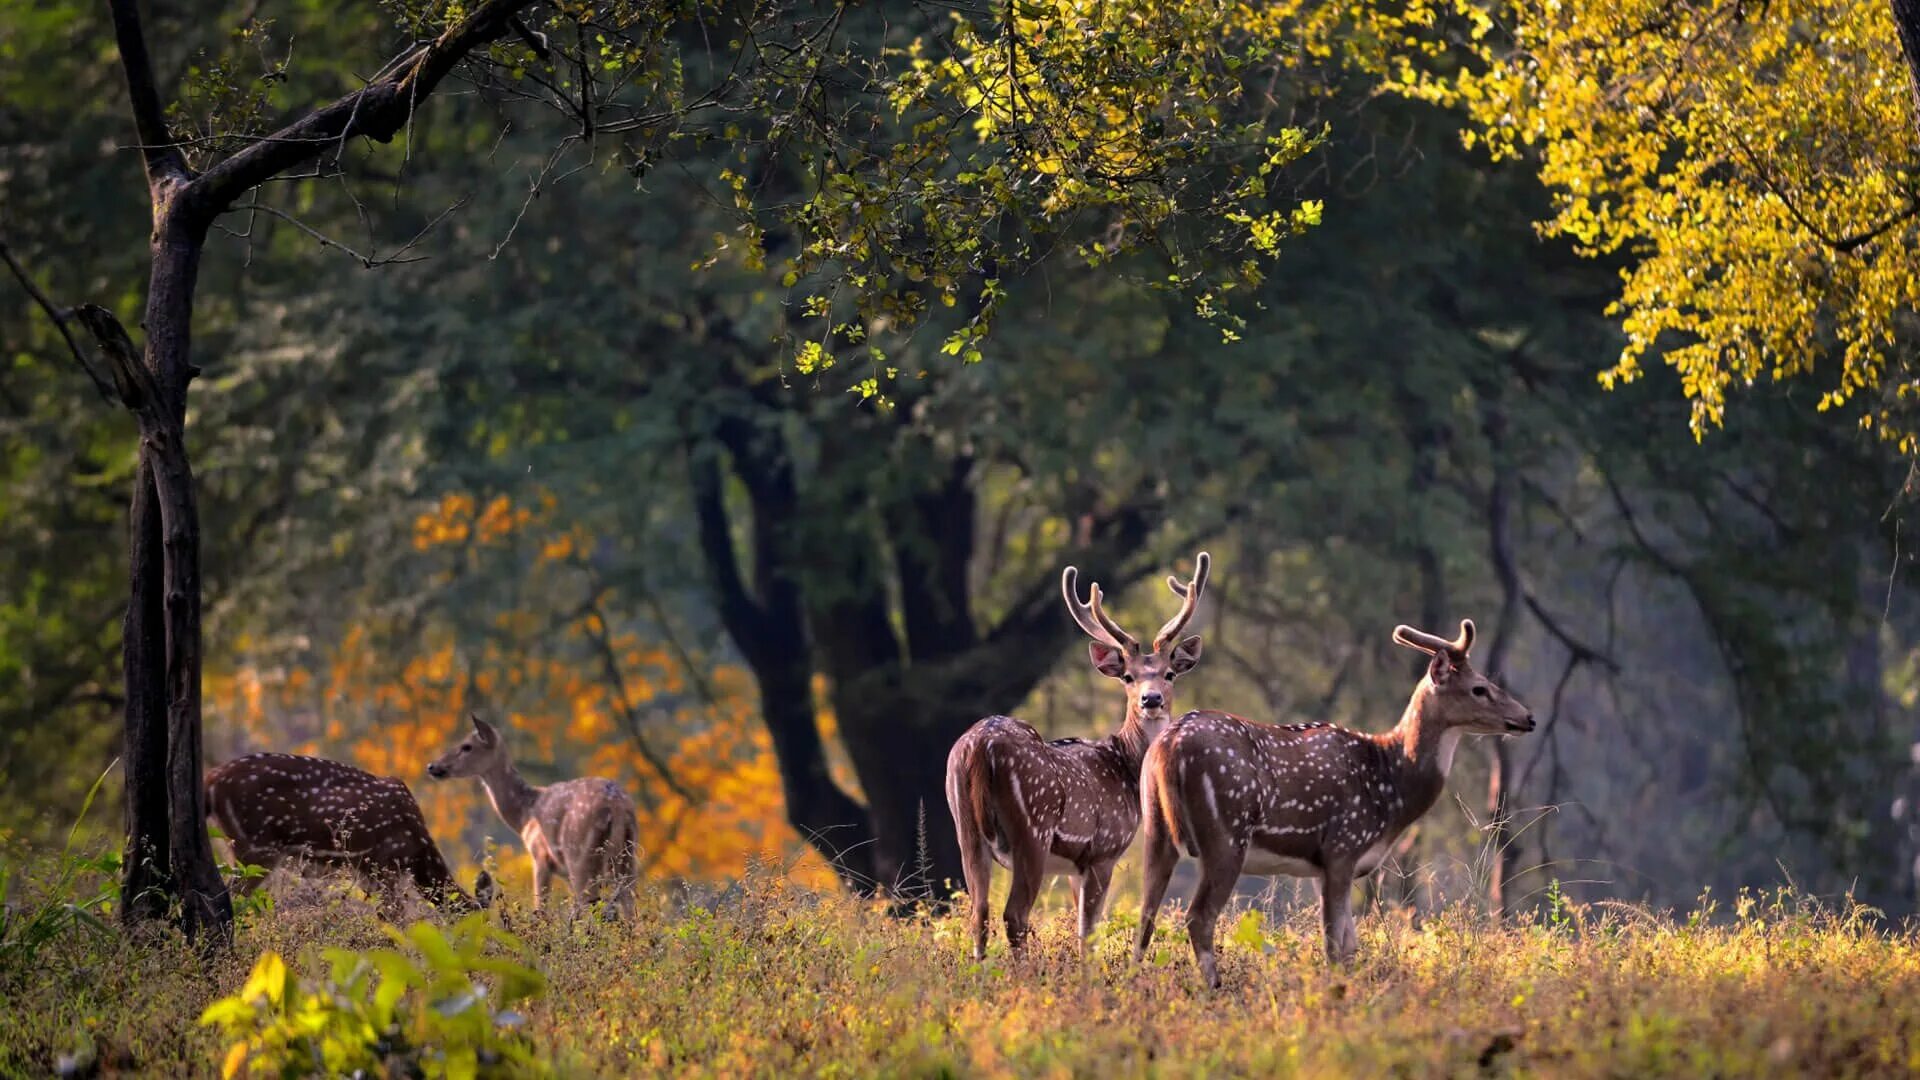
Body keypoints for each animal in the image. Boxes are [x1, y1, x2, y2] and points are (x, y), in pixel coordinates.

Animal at [426, 714, 637, 914]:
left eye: (467, 746)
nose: (432, 766)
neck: (524, 814)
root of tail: (616, 806)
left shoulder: (540, 857)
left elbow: (541, 909)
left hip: (579, 855)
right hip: (627, 856)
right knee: (628, 904)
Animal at [948, 549, 1213, 953]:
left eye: (1169, 674)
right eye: (1128, 677)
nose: (1151, 700)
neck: (1125, 766)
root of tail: (978, 748)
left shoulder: (1075, 866)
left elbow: (1079, 928)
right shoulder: (1104, 849)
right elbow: (1089, 932)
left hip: (964, 827)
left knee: (978, 914)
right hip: (1032, 830)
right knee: (1014, 914)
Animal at [1136, 614, 1528, 983]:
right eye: (1480, 688)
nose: (1528, 717)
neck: (1391, 788)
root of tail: (1170, 745)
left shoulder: (1323, 865)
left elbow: (1350, 944)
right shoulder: (1343, 845)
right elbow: (1335, 945)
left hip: (1155, 826)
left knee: (1146, 914)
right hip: (1226, 833)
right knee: (1198, 917)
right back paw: (1212, 987)